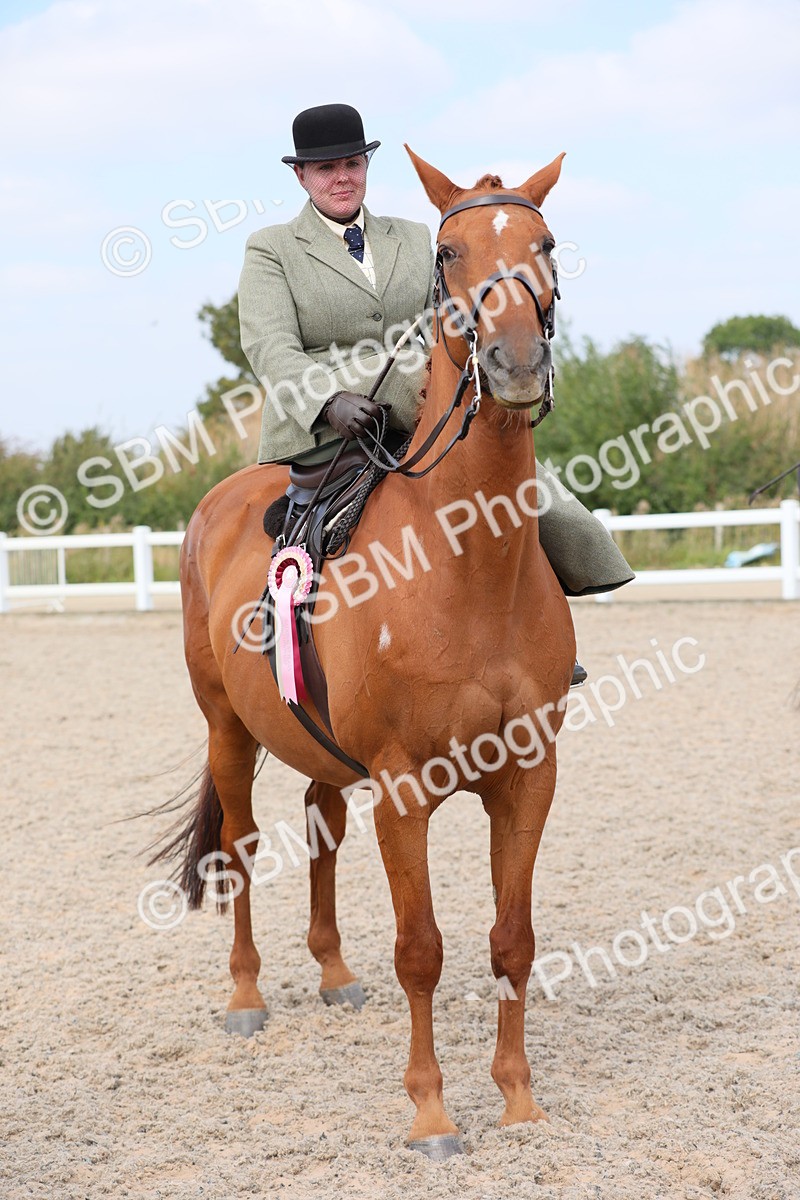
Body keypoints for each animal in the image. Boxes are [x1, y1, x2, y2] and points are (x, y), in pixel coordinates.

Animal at [157, 147, 576, 1159]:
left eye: (545, 242)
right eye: (452, 252)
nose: (515, 362)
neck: (469, 563)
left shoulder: (529, 776)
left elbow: (512, 939)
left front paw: (518, 1098)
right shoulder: (403, 785)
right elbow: (422, 949)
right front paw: (431, 1113)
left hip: (319, 745)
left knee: (319, 826)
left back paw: (336, 974)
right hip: (229, 729)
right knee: (242, 844)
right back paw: (247, 996)